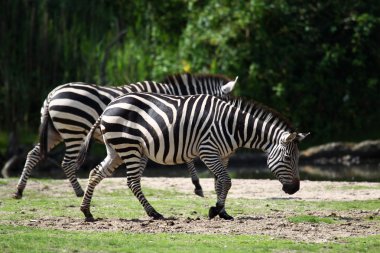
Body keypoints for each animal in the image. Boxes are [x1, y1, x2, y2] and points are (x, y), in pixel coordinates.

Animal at [11, 73, 236, 200]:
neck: (177, 100)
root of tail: (52, 94)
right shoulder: (172, 128)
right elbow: (186, 158)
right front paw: (197, 186)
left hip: (54, 131)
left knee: (33, 155)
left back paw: (19, 190)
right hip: (74, 130)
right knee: (66, 163)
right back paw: (79, 193)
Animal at [75, 92, 308, 221]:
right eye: (289, 159)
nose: (294, 189)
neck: (235, 127)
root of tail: (109, 106)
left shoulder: (223, 156)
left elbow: (220, 183)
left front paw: (222, 211)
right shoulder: (208, 151)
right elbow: (227, 181)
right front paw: (216, 210)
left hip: (117, 149)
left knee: (95, 173)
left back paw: (87, 212)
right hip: (129, 146)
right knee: (132, 182)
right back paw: (154, 213)